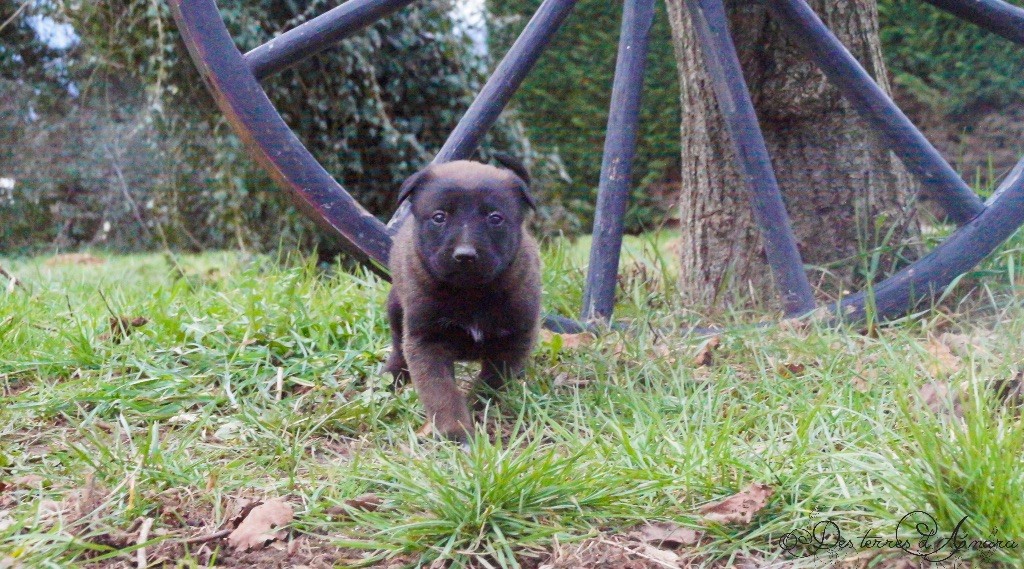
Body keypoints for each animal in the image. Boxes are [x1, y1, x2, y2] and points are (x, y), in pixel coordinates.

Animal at [384, 158, 541, 443]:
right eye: (439, 217)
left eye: (495, 218)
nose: (465, 255)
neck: (470, 293)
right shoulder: (426, 340)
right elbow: (441, 391)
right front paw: (455, 431)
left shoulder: (515, 337)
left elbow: (491, 383)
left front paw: (478, 409)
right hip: (395, 308)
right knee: (398, 347)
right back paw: (391, 376)